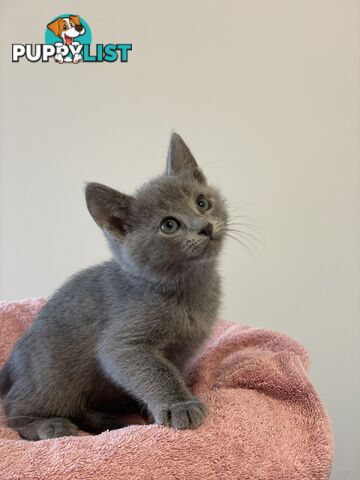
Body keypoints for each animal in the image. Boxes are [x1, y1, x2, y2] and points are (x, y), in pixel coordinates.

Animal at [0, 133, 228, 440]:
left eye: (202, 203)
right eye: (169, 225)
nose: (204, 226)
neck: (189, 287)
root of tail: (13, 359)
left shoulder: (182, 352)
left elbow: (171, 370)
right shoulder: (123, 343)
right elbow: (155, 371)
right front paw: (179, 404)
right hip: (53, 376)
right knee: (15, 408)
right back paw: (51, 425)